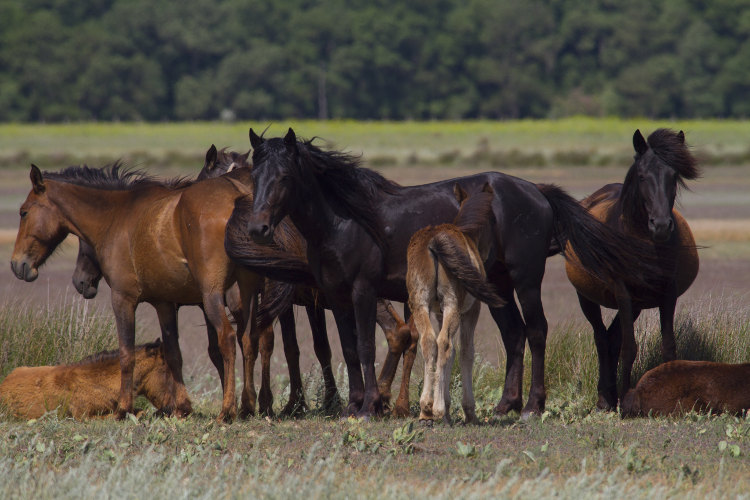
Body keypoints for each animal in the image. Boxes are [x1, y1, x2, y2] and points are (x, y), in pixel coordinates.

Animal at [408, 182, 508, 424]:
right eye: (494, 219)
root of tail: (434, 241)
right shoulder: (471, 310)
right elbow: (465, 352)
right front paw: (466, 410)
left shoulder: (438, 312)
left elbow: (448, 353)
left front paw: (444, 406)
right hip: (453, 305)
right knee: (444, 343)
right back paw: (437, 409)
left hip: (420, 304)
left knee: (429, 342)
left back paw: (426, 409)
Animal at [568, 128, 704, 410]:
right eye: (642, 176)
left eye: (673, 176)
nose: (661, 226)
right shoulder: (622, 292)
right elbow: (629, 348)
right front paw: (625, 399)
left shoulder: (667, 293)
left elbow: (668, 346)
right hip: (588, 299)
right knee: (602, 339)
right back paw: (605, 398)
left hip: (637, 304)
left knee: (611, 338)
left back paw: (609, 394)